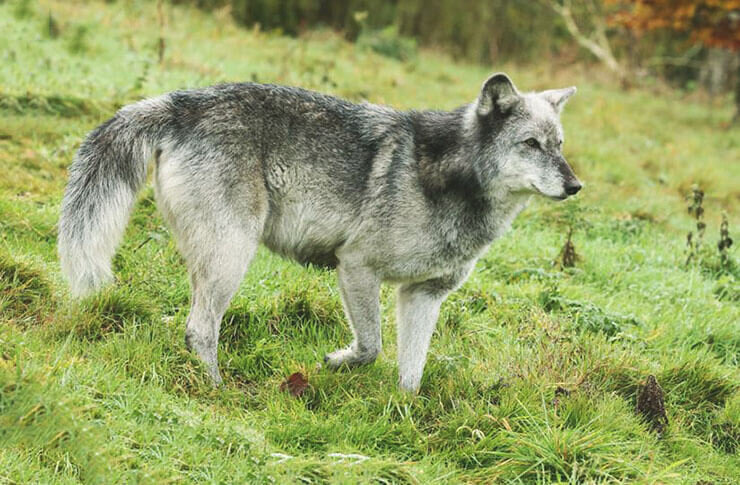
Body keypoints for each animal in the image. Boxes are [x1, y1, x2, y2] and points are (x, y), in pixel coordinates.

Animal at [59, 73, 580, 394]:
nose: (575, 186)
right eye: (531, 145)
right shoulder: (356, 268)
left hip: (212, 260)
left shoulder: (423, 295)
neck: (450, 177)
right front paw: (335, 362)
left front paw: (404, 419)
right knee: (199, 329)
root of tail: (181, 103)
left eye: (558, 145)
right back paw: (216, 390)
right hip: (233, 257)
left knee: (189, 321)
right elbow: (371, 348)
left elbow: (412, 374)